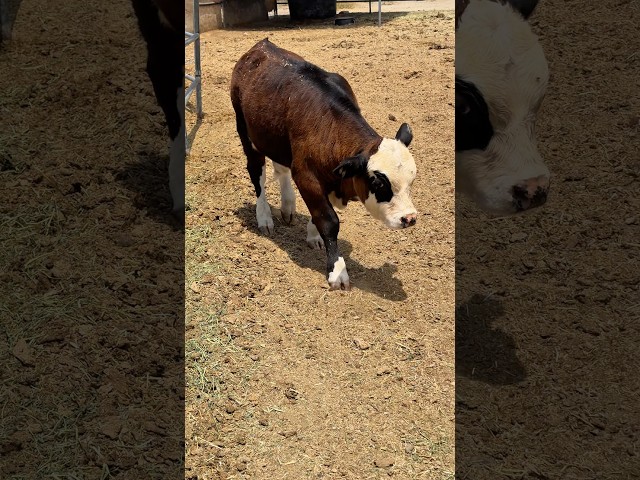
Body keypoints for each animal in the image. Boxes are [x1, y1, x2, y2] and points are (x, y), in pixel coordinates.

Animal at [230, 39, 417, 291]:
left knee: (281, 168)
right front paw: (337, 272)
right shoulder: (306, 175)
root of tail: (261, 46)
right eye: (378, 182)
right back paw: (265, 217)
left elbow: (318, 213)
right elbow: (329, 220)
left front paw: (313, 236)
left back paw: (288, 206)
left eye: (411, 180)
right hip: (246, 132)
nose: (410, 218)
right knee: (257, 173)